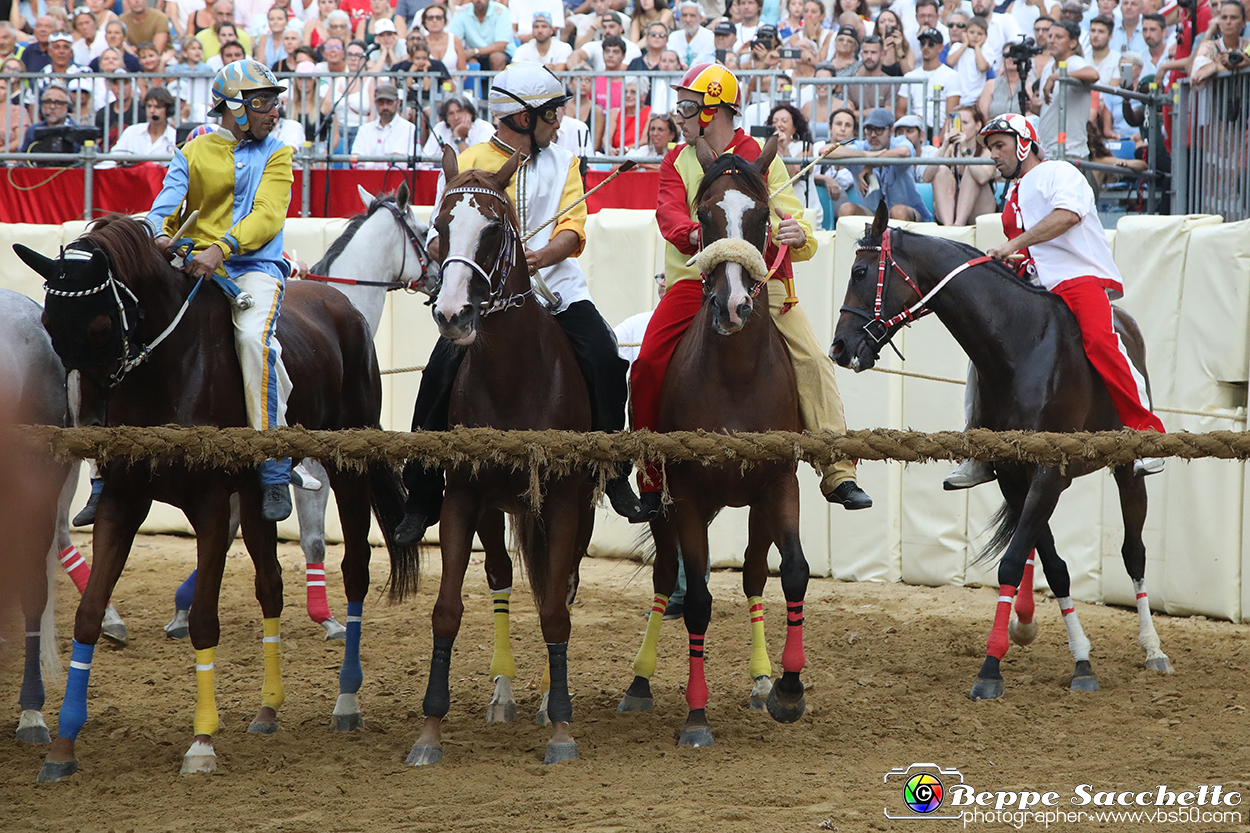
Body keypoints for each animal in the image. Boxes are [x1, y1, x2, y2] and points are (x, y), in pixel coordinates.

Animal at [14, 215, 417, 780]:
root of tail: (343, 308)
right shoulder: (123, 502)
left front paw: (201, 742)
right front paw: (63, 744)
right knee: (271, 586)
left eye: (99, 328)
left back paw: (346, 700)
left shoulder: (207, 505)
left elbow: (205, 620)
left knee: (355, 568)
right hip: (254, 496)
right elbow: (88, 613)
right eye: (49, 327)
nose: (88, 428)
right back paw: (268, 709)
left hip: (347, 467)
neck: (171, 368)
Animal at [402, 147, 592, 765]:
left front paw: (561, 727)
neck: (513, 375)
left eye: (492, 231)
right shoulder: (464, 499)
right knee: (503, 575)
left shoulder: (563, 501)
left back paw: (544, 703)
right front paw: (429, 732)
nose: (453, 314)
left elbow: (555, 609)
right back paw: (504, 694)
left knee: (560, 585)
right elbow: (447, 609)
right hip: (494, 509)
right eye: (438, 228)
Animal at [620, 137, 815, 745]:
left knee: (753, 573)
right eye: (703, 216)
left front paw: (787, 689)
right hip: (667, 505)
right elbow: (699, 599)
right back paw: (639, 683)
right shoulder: (685, 496)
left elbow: (792, 572)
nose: (733, 307)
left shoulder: (779, 484)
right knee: (666, 578)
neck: (734, 377)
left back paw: (760, 679)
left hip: (750, 503)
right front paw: (696, 715)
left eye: (762, 217)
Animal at [830, 201, 1170, 700]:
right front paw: (1080, 660)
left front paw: (990, 669)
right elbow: (1053, 566)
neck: (1020, 344)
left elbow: (1012, 563)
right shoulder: (1014, 476)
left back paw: (1152, 648)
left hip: (1126, 469)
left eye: (859, 271)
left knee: (1134, 553)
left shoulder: (1048, 473)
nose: (839, 347)